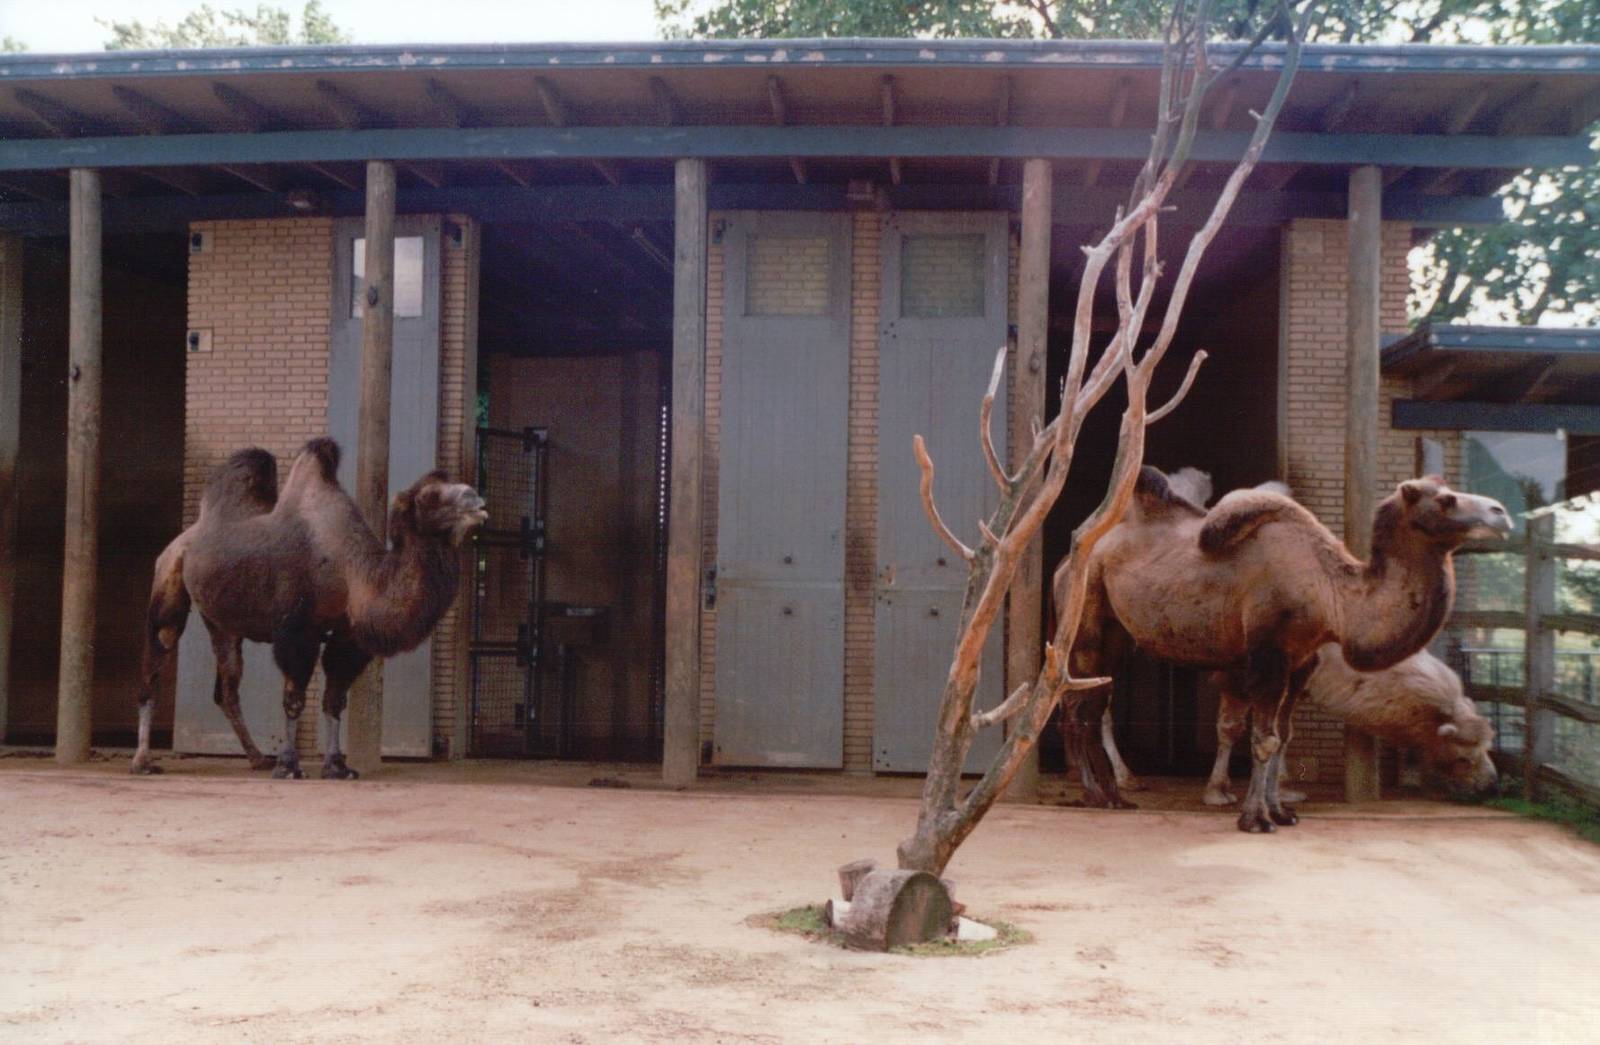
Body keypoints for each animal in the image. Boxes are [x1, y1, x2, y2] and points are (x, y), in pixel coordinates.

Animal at [131, 438, 487, 778]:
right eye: (430, 496)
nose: (478, 501)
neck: (350, 571)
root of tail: (186, 536)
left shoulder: (347, 637)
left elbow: (334, 700)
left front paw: (337, 766)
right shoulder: (296, 631)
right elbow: (294, 698)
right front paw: (289, 765)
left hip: (221, 620)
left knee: (227, 688)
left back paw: (257, 758)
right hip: (169, 576)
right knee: (157, 657)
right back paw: (142, 761)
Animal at [1058, 466, 1510, 832]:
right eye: (1446, 499)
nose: (1501, 512)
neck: (1332, 596)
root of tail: (1068, 562)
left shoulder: (1301, 661)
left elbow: (1284, 736)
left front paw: (1281, 812)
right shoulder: (1267, 657)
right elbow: (1263, 738)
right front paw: (1255, 819)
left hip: (1116, 637)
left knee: (1089, 704)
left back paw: (1111, 796)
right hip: (1085, 624)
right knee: (1081, 708)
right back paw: (1099, 795)